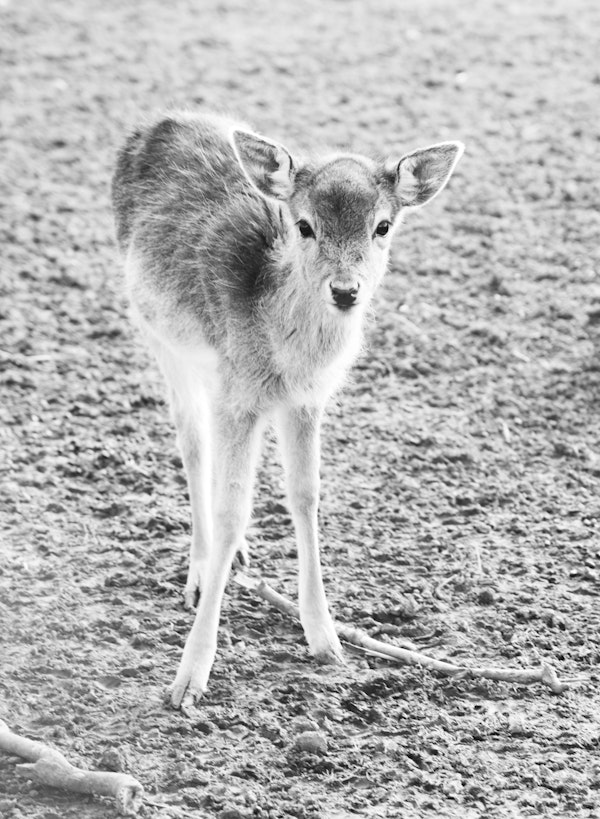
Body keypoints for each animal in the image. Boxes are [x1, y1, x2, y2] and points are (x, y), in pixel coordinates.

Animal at [111, 110, 464, 709]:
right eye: (304, 226)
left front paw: (326, 639)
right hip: (159, 336)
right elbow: (233, 510)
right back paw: (202, 570)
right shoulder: (239, 394)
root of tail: (159, 120)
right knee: (191, 443)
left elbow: (305, 496)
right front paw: (188, 681)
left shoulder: (305, 401)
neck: (281, 356)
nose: (345, 291)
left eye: (382, 227)